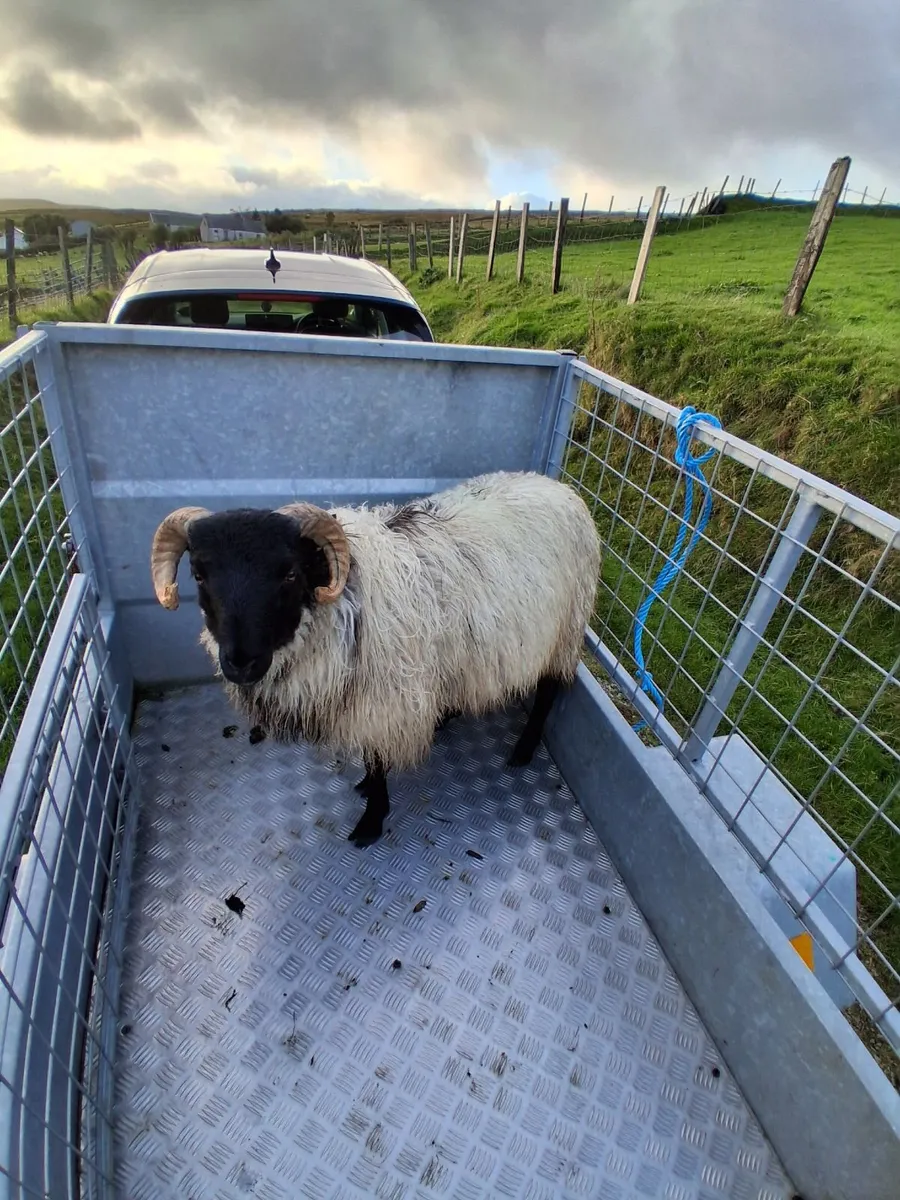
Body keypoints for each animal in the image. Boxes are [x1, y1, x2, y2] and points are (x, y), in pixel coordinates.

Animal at [149, 470, 601, 846]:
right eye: (200, 575)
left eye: (289, 573)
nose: (240, 662)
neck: (345, 599)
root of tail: (557, 486)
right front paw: (367, 786)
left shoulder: (385, 702)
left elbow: (379, 761)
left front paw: (371, 819)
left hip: (565, 628)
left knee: (550, 690)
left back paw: (523, 749)